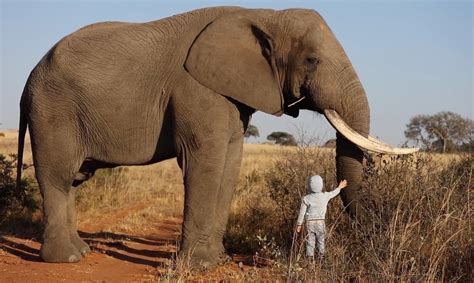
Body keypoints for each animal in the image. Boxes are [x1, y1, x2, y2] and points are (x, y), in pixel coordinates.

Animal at [15, 7, 414, 268]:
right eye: (312, 60)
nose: (372, 237)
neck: (266, 14)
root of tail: (29, 76)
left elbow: (230, 164)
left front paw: (217, 260)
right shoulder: (197, 88)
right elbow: (204, 161)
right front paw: (199, 267)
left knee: (69, 182)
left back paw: (81, 253)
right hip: (53, 109)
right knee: (58, 178)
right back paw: (66, 258)